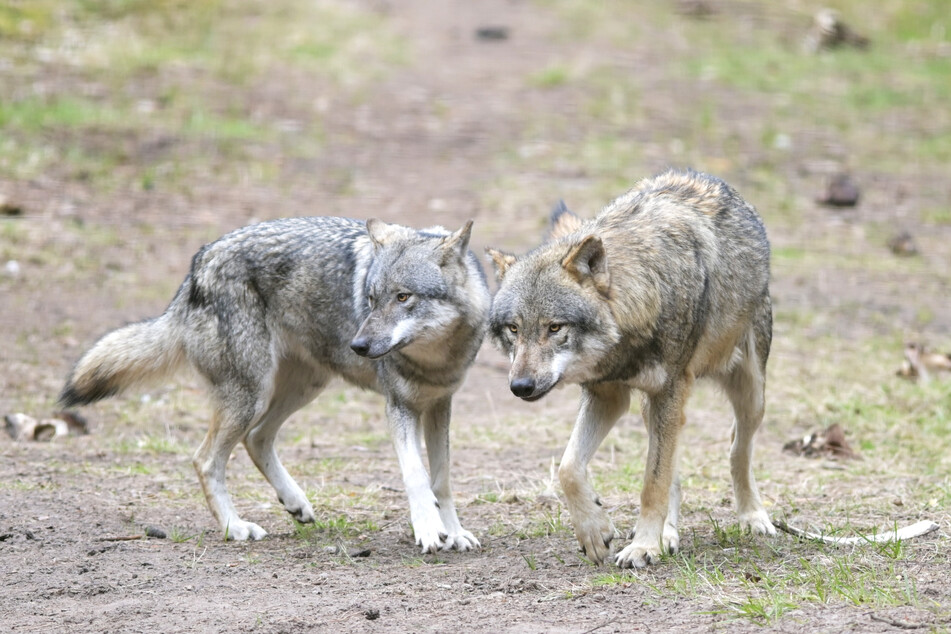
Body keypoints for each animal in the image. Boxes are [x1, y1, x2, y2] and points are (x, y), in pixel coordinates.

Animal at [59, 215, 490, 552]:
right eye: (370, 299)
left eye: (403, 297)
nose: (359, 345)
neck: (435, 359)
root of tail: (199, 263)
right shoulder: (399, 407)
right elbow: (417, 476)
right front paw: (429, 531)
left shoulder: (439, 405)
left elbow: (441, 480)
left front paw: (454, 532)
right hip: (252, 395)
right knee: (205, 458)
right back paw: (235, 528)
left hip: (303, 387)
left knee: (257, 438)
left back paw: (294, 502)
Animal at [488, 169, 776, 568]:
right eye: (513, 329)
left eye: (555, 327)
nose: (521, 386)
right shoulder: (608, 395)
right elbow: (569, 468)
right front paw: (596, 532)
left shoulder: (668, 391)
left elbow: (653, 484)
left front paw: (642, 547)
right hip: (651, 407)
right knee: (675, 470)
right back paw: (668, 534)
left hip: (750, 394)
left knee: (737, 449)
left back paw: (752, 517)